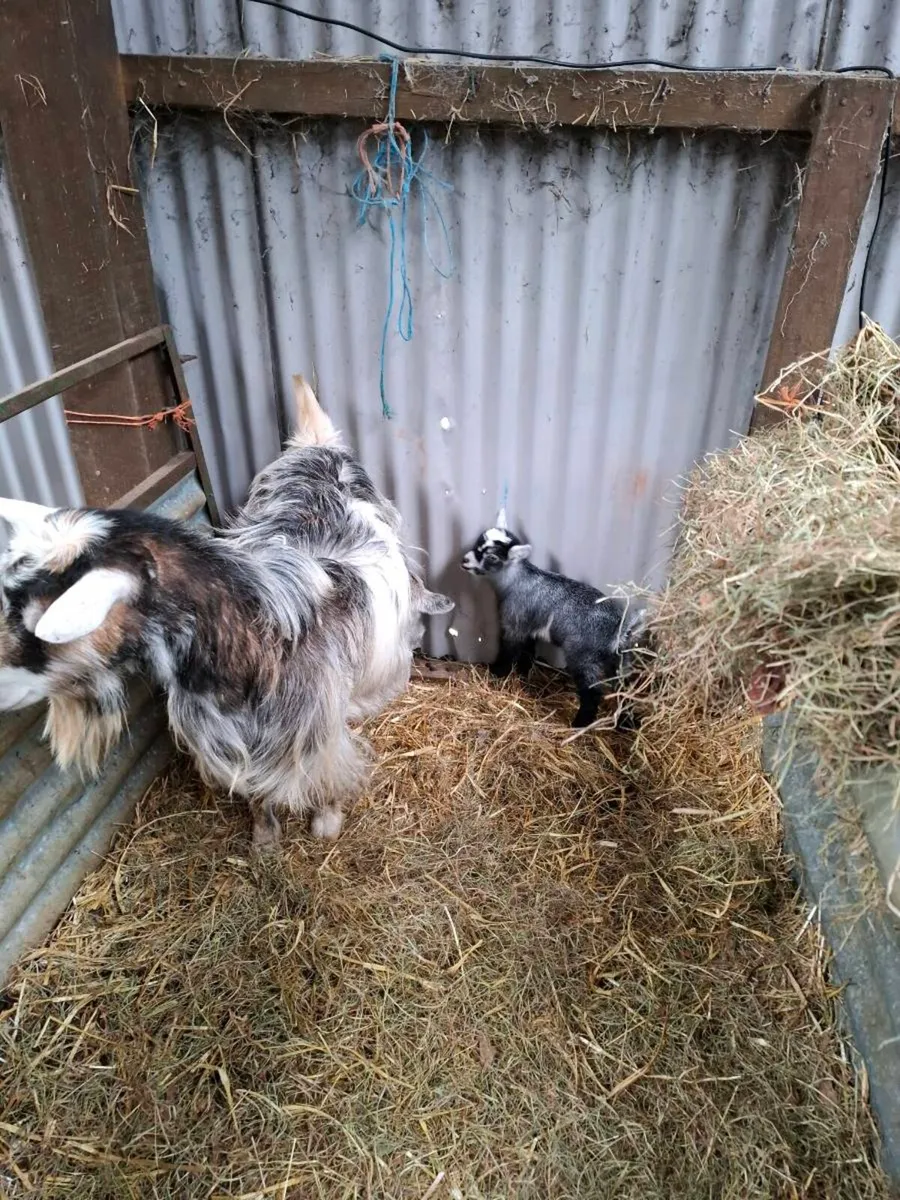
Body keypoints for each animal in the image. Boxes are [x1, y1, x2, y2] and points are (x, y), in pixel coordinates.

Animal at [0, 378, 453, 847]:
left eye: (43, 623)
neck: (261, 649)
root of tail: (317, 446)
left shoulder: (317, 737)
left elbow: (328, 777)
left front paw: (326, 823)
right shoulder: (229, 743)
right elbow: (256, 791)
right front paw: (264, 838)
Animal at [460, 510, 643, 728]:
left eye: (492, 557)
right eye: (479, 541)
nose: (465, 560)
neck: (515, 580)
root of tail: (620, 629)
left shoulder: (515, 623)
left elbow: (509, 650)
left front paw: (496, 673)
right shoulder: (530, 628)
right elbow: (527, 653)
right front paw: (522, 676)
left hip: (583, 656)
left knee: (592, 693)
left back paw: (580, 723)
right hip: (621, 659)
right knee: (626, 691)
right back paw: (627, 724)